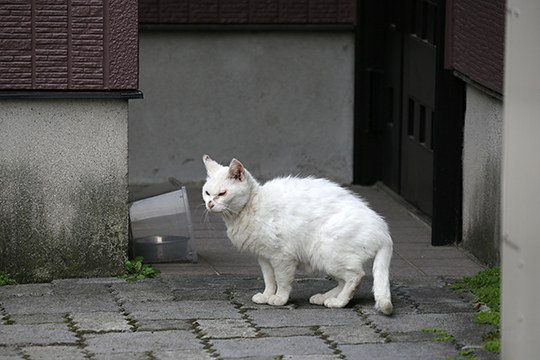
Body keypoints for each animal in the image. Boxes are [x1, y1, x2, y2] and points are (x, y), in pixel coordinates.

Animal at [201, 155, 392, 316]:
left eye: (222, 193)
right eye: (207, 193)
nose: (210, 204)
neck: (250, 207)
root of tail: (383, 230)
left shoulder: (281, 257)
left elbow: (282, 280)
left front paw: (279, 298)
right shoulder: (264, 257)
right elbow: (269, 279)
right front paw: (266, 295)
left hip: (326, 253)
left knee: (356, 276)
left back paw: (338, 302)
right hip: (326, 259)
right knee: (344, 281)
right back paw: (325, 297)